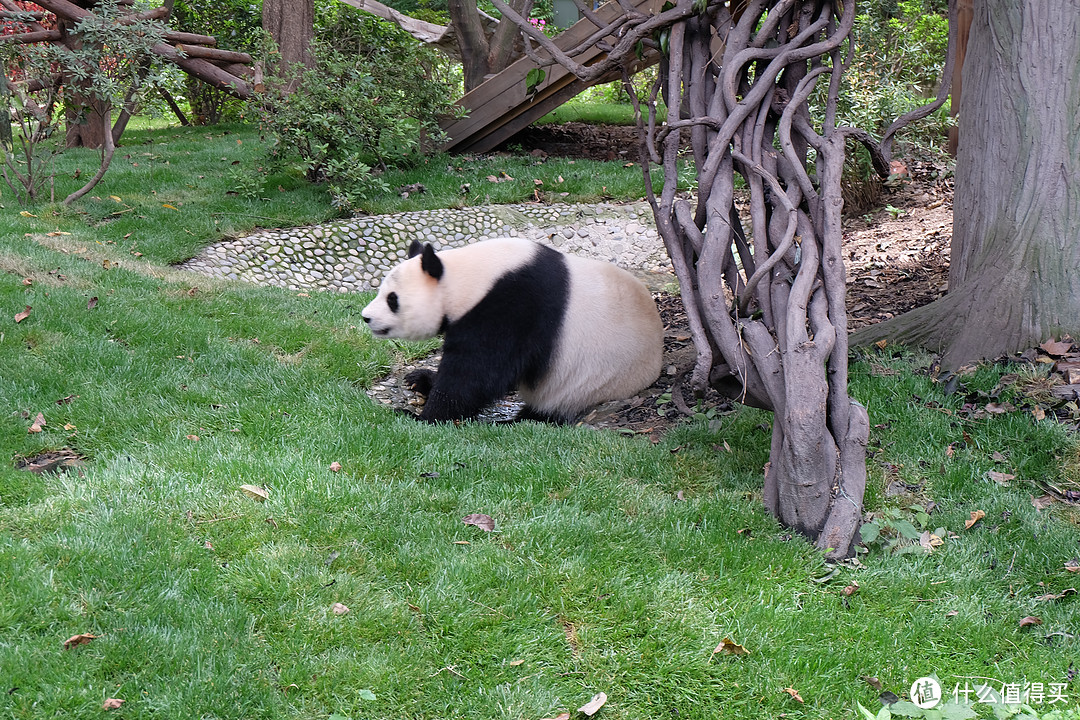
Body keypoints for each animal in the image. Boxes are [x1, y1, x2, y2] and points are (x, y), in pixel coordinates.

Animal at [362, 239, 660, 425]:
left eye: (392, 299)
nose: (366, 317)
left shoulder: (512, 307)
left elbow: (478, 371)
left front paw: (422, 416)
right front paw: (420, 379)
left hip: (590, 385)